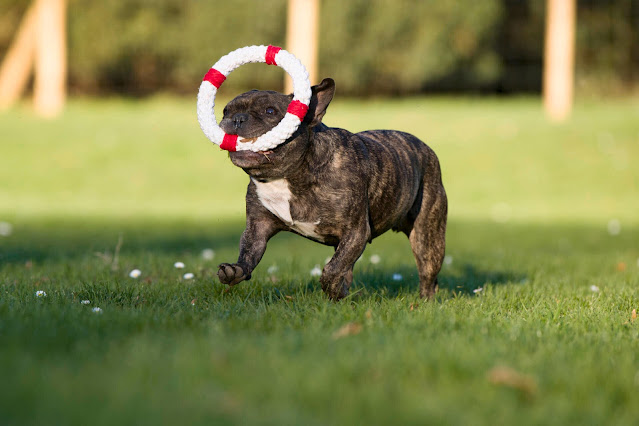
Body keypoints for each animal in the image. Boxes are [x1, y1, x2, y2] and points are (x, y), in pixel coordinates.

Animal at [218, 79, 448, 300]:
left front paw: (334, 290)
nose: (237, 118)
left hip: (426, 235)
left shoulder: (355, 232)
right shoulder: (258, 226)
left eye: (270, 111)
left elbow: (333, 269)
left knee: (427, 273)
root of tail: (425, 148)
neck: (287, 176)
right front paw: (235, 270)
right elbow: (249, 251)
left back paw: (425, 301)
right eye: (225, 111)